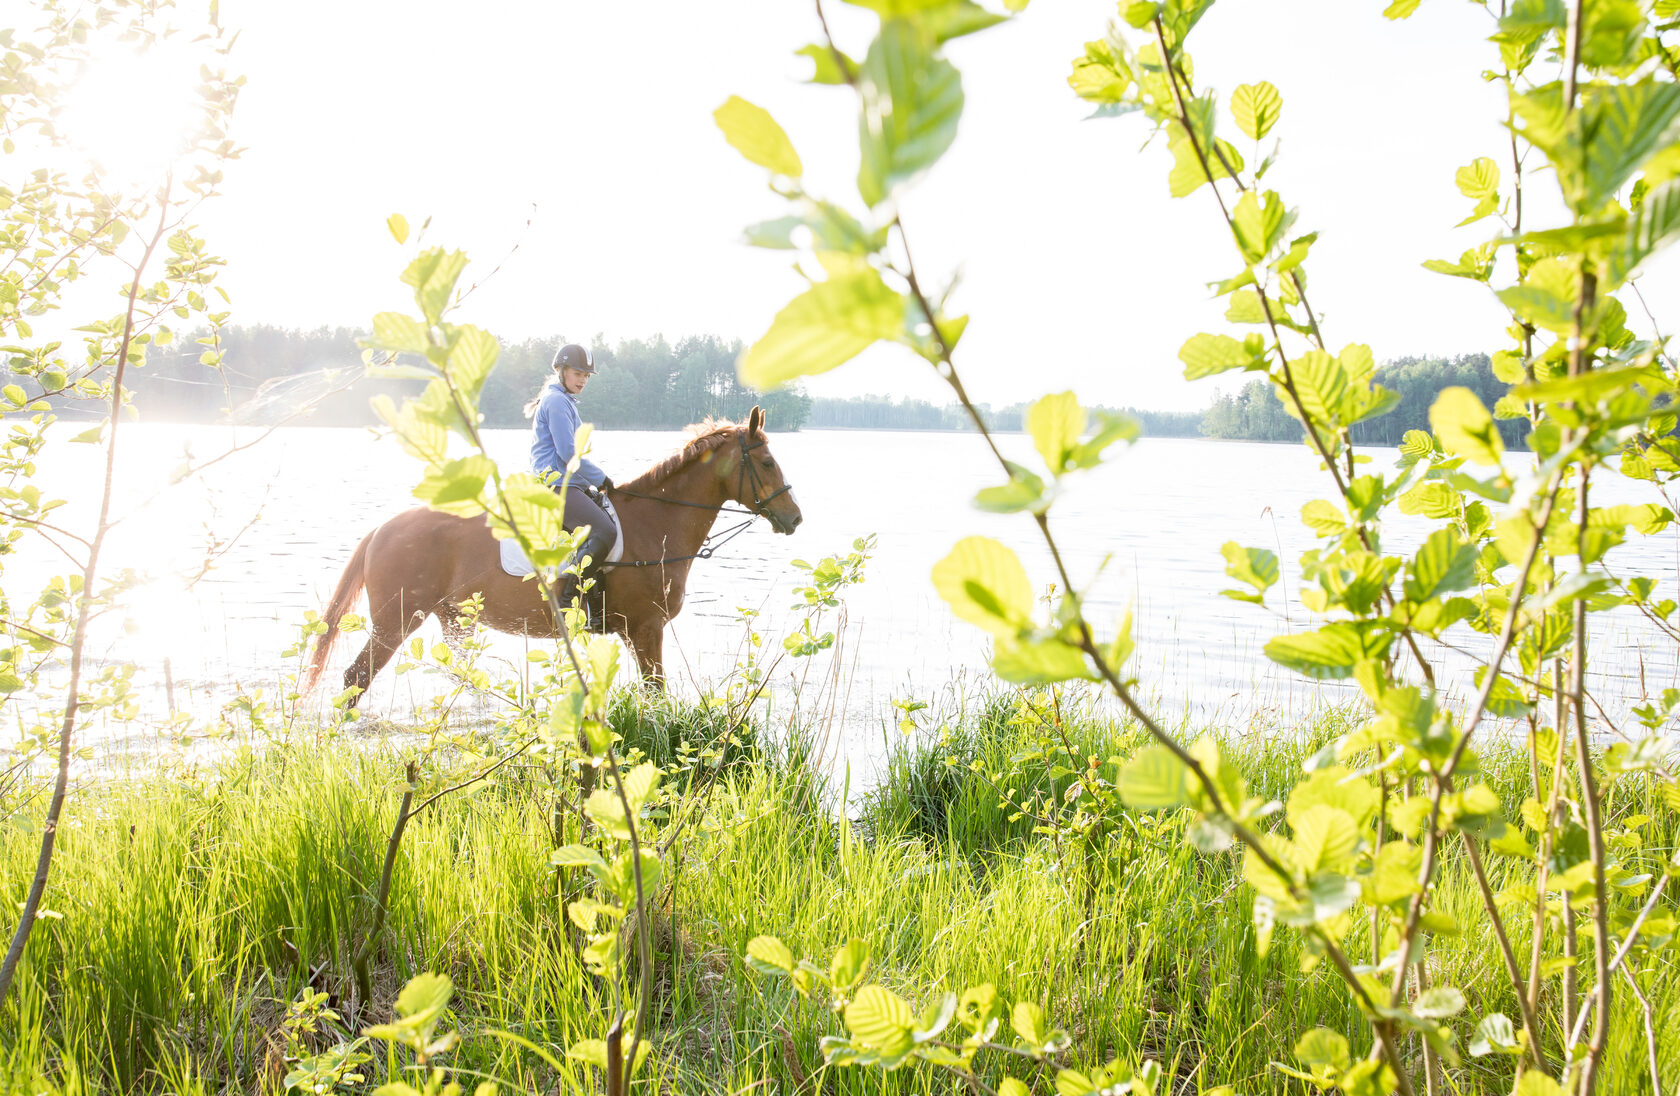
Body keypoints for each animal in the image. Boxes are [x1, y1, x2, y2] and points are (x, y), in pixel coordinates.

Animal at [309, 408, 806, 702]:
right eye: (766, 463)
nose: (795, 518)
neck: (655, 520)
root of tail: (381, 530)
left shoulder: (636, 634)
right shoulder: (647, 629)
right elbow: (656, 695)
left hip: (455, 621)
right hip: (394, 622)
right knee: (355, 679)